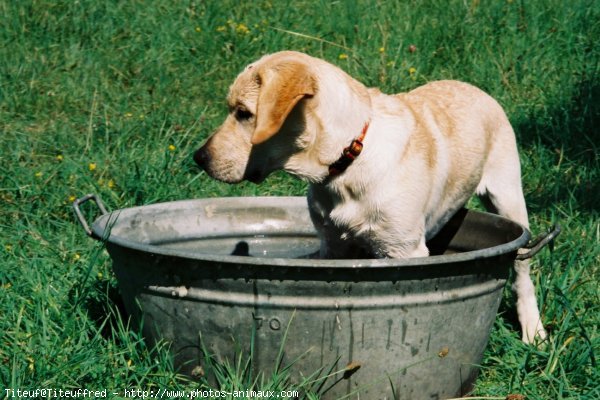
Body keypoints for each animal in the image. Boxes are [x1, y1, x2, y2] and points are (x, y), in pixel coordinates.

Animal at [195, 50, 548, 344]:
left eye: (243, 113)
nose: (199, 157)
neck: (347, 160)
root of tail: (475, 88)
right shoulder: (333, 246)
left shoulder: (405, 252)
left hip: (509, 198)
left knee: (523, 271)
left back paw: (534, 331)